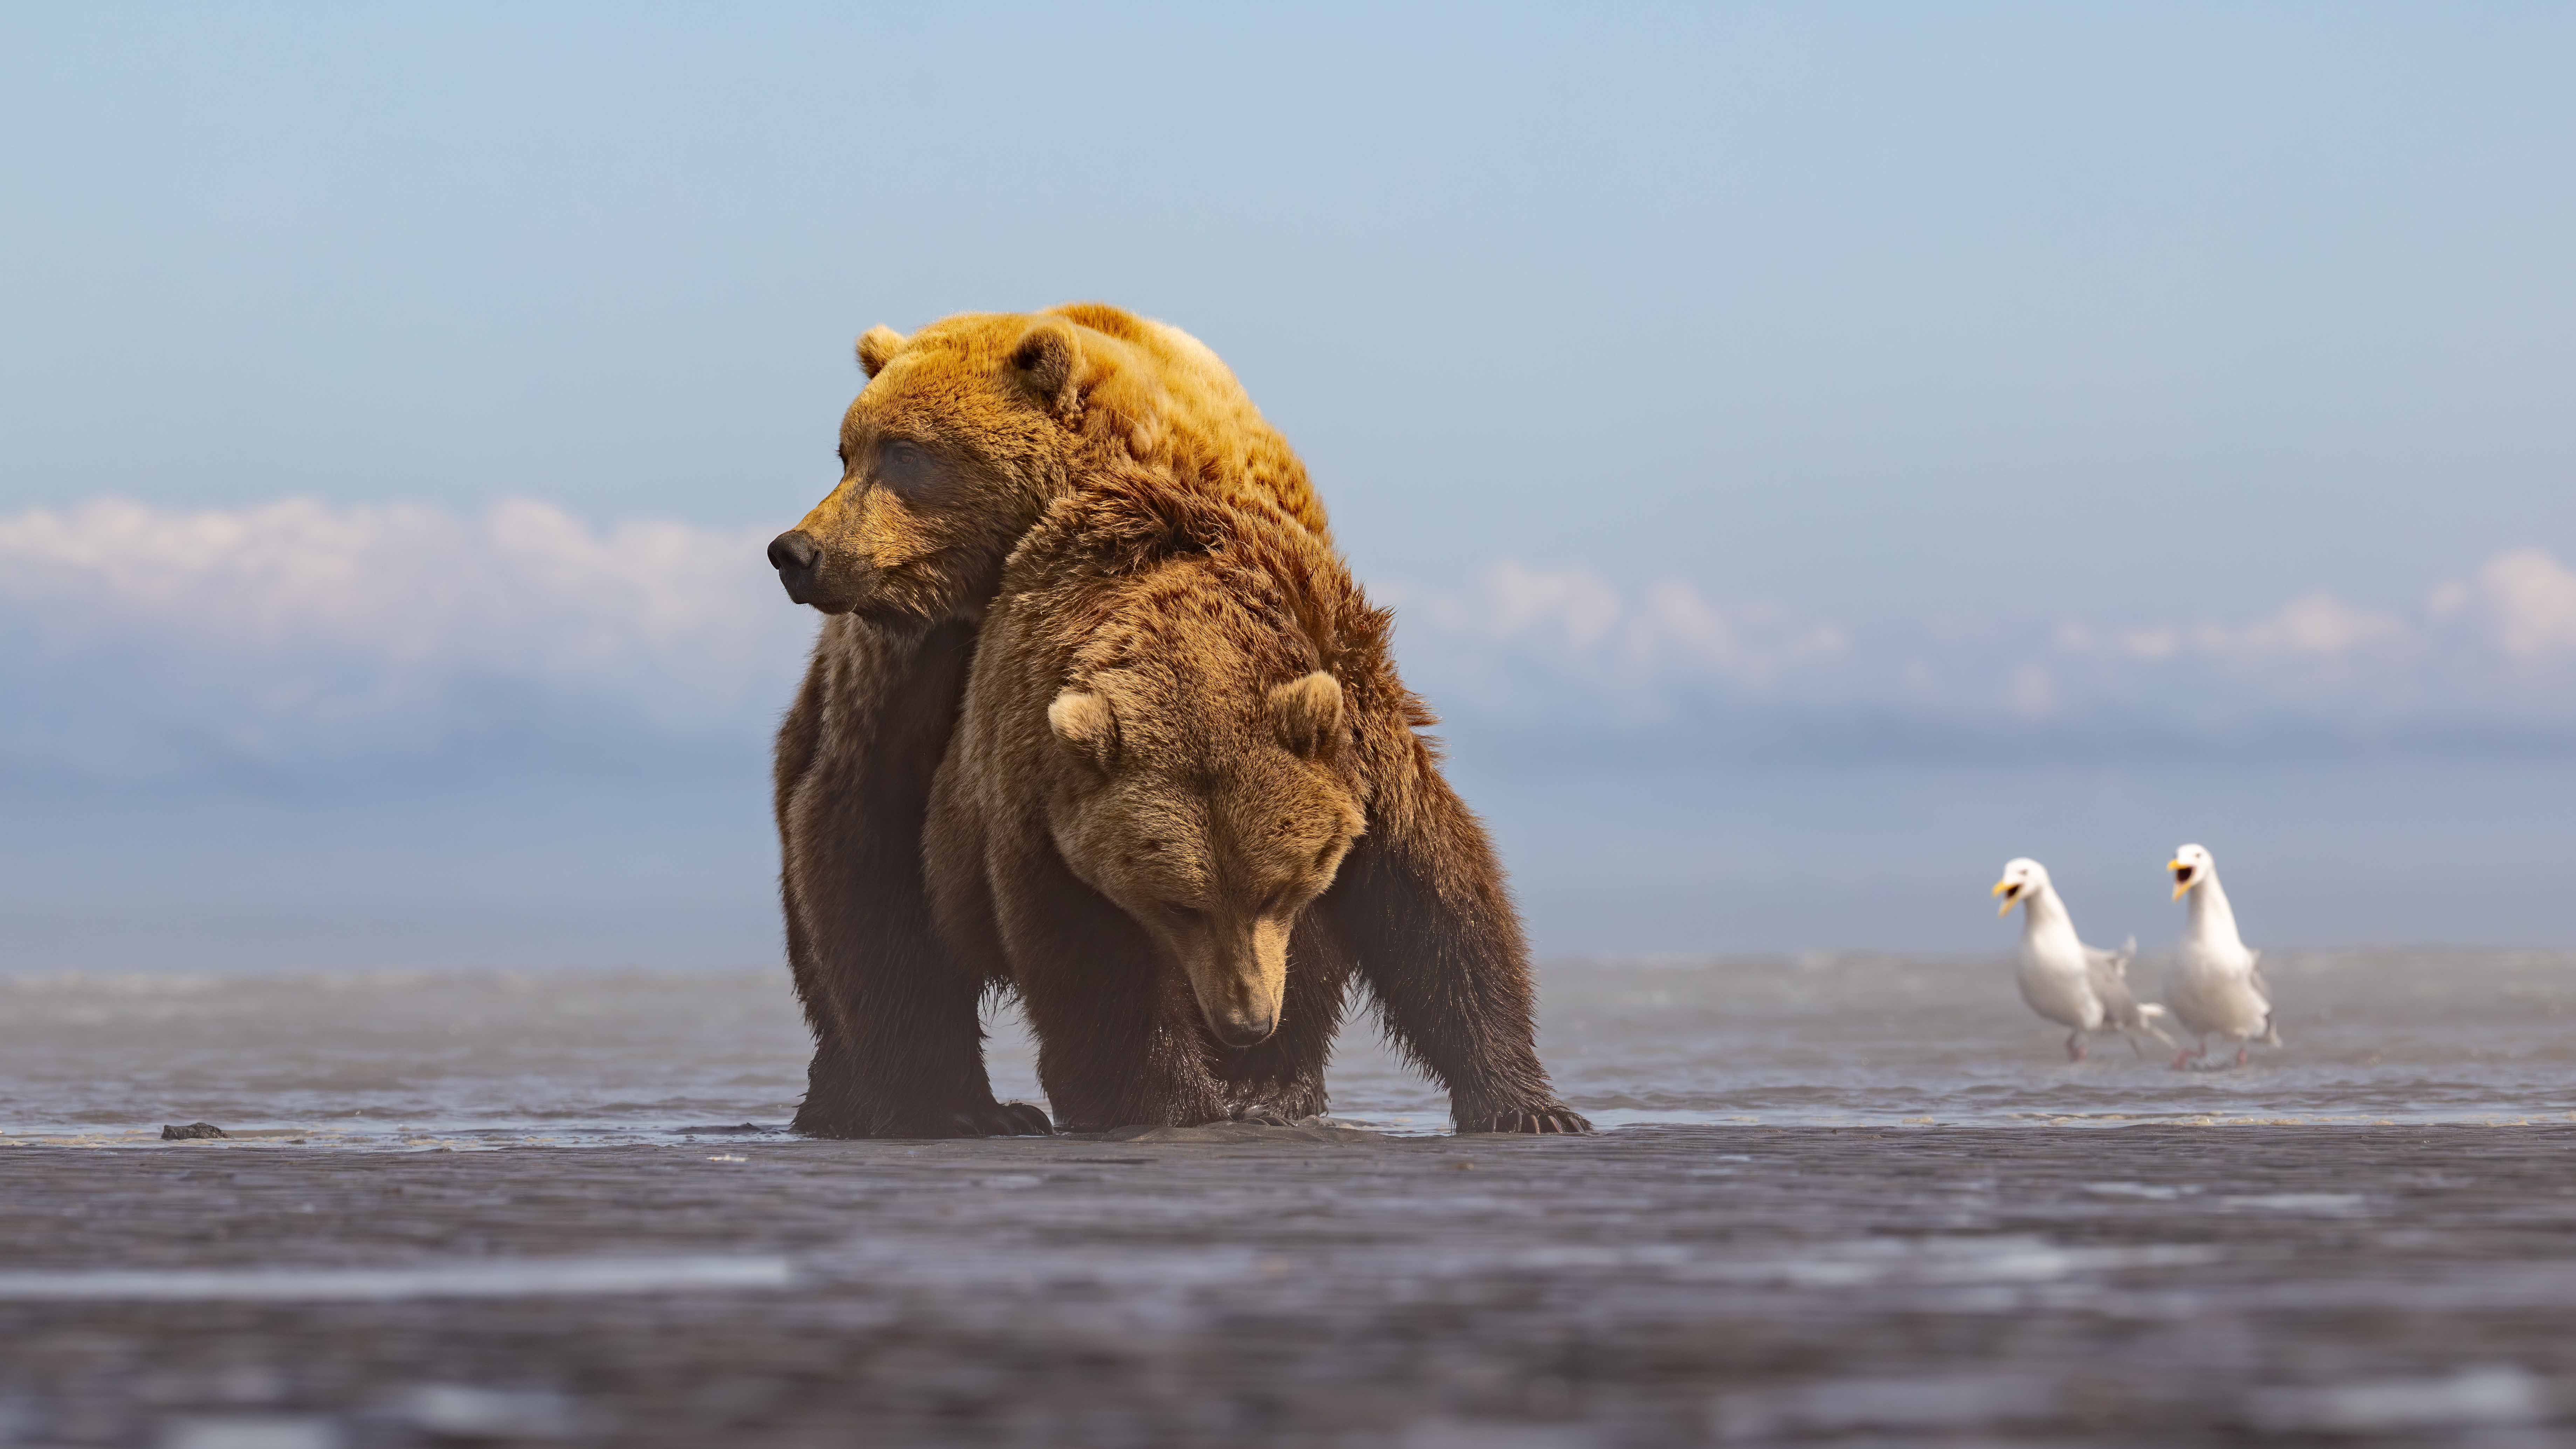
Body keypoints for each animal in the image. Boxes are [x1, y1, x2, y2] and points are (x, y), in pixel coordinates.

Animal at [769, 303, 1330, 1137]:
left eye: (903, 452)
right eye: (846, 450)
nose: (796, 550)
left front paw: (1253, 1085)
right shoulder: (909, 670)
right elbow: (867, 845)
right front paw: (945, 1102)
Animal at [923, 460, 1591, 1134]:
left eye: (1276, 890)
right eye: (1178, 906)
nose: (1244, 1022)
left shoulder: (1364, 743)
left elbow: (1433, 908)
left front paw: (1529, 1108)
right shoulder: (1044, 813)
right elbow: (1098, 973)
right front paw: (1171, 1102)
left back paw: (1271, 1090)